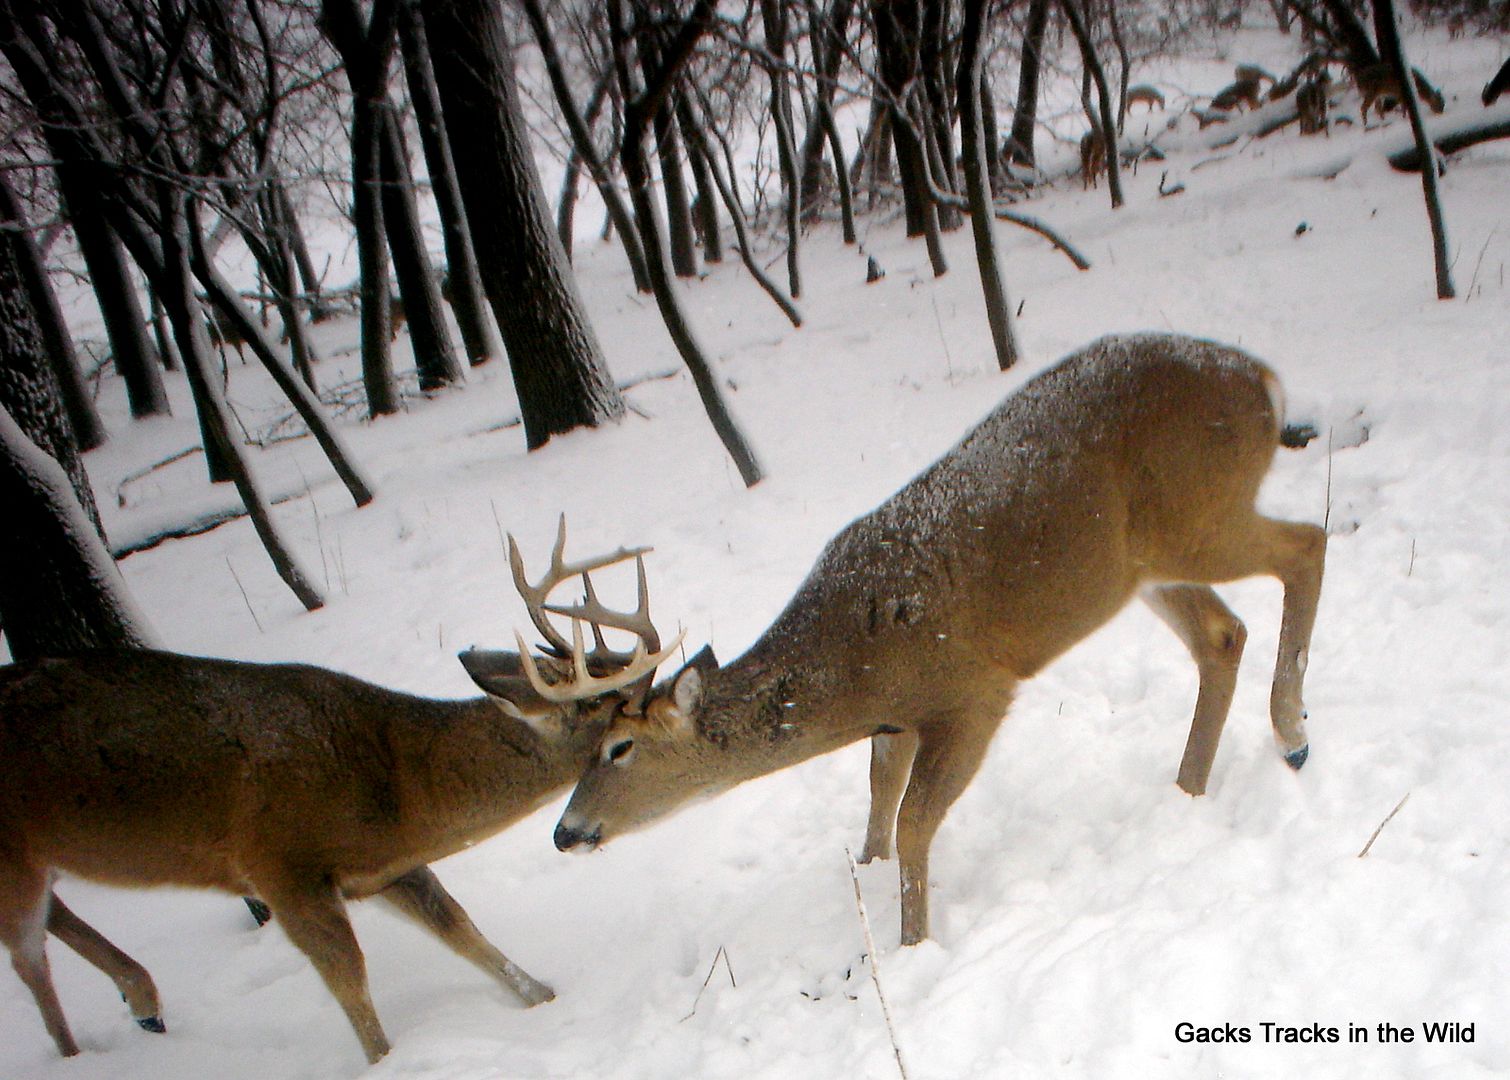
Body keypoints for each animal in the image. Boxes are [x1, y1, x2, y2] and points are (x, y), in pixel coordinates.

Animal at [0, 524, 677, 1065]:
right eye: (619, 709)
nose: (679, 711)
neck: (395, 784)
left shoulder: (383, 867)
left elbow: (461, 928)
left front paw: (544, 997)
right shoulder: (280, 866)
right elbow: (350, 981)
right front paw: (386, 1061)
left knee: (51, 918)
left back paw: (142, 1002)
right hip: (15, 855)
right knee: (27, 954)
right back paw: (75, 1054)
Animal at [532, 332, 1327, 949]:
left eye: (618, 748)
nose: (565, 832)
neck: (851, 669)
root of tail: (1264, 379)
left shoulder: (973, 690)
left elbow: (916, 821)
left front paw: (914, 943)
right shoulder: (896, 720)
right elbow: (880, 798)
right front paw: (868, 872)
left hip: (1197, 515)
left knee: (1306, 546)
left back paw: (1292, 733)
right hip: (1145, 565)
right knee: (1223, 634)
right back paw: (1190, 789)